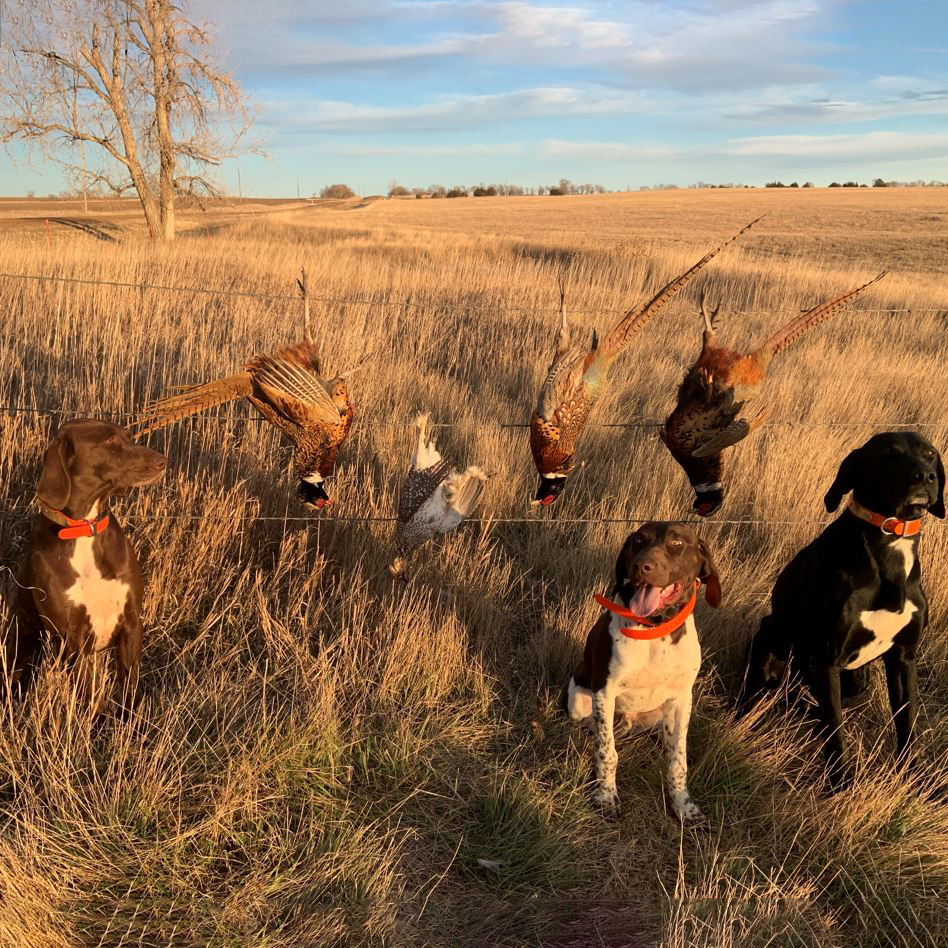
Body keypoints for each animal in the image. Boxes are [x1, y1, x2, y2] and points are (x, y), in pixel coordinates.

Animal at [6, 422, 167, 712]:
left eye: (129, 436)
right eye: (111, 441)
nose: (163, 461)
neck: (85, 528)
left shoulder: (131, 624)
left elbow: (129, 687)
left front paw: (130, 723)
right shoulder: (72, 639)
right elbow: (86, 696)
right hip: (20, 647)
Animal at [564, 524, 720, 824]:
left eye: (677, 542)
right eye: (637, 540)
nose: (641, 566)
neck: (655, 629)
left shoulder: (682, 698)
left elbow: (678, 759)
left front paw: (683, 806)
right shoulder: (605, 692)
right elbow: (607, 752)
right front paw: (606, 796)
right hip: (580, 701)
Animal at [744, 430, 944, 784]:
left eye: (930, 453)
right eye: (889, 453)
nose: (924, 476)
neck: (889, 550)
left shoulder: (904, 656)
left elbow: (907, 720)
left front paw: (913, 776)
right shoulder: (827, 659)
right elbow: (835, 729)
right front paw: (841, 783)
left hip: (855, 679)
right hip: (770, 640)